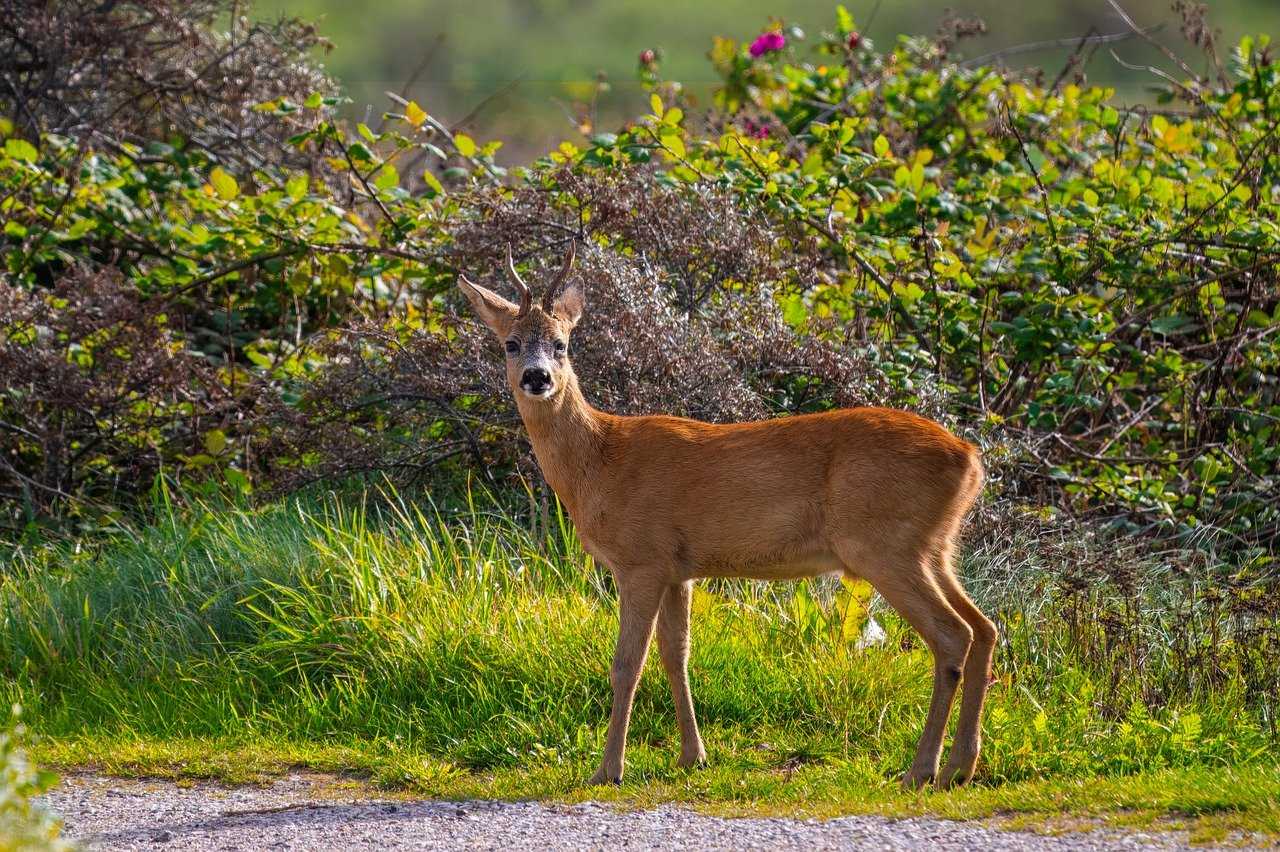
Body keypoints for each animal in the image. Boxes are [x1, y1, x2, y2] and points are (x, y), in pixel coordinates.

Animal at [460, 241, 998, 788]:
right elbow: (676, 655)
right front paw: (692, 755)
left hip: (883, 543)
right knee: (985, 629)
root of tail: (970, 457)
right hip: (934, 546)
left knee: (953, 636)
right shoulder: (679, 568)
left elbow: (627, 663)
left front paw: (608, 769)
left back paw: (923, 769)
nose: (538, 377)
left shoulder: (641, 559)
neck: (600, 462)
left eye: (562, 344)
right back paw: (961, 765)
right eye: (510, 344)